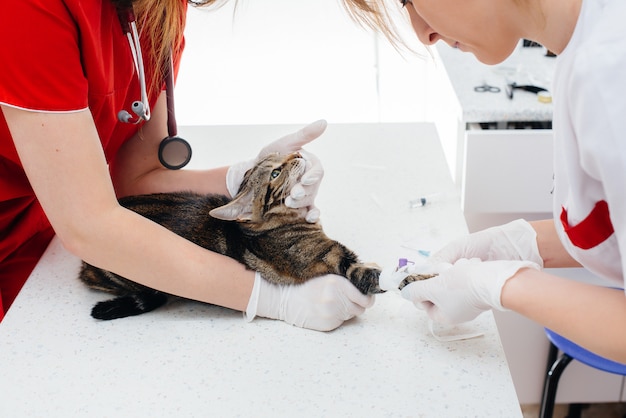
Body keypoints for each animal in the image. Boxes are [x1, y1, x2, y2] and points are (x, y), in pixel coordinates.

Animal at [79, 152, 386, 318]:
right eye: (275, 172)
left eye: (279, 157)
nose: (298, 154)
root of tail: (83, 268)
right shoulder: (324, 254)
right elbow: (354, 267)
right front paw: (381, 279)